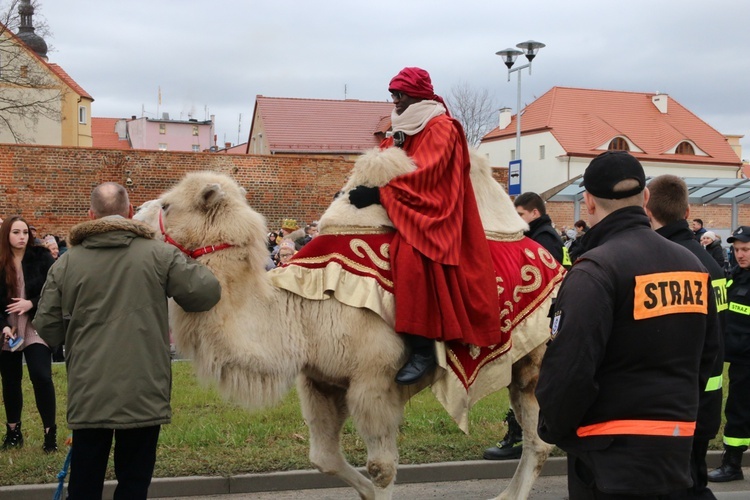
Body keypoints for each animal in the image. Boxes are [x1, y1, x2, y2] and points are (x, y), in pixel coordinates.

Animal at [137, 146, 564, 498]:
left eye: (168, 206)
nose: (133, 219)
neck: (301, 314)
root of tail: (554, 263)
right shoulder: (321, 381)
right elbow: (324, 459)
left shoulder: (374, 381)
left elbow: (381, 468)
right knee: (537, 438)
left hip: (536, 360)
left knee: (539, 439)